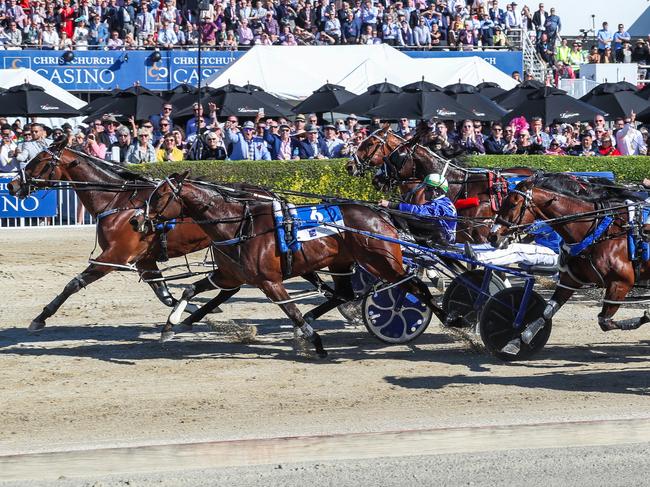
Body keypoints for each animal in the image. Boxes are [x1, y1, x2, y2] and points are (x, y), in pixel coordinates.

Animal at [6, 139, 213, 334]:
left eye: (39, 160)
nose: (11, 184)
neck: (119, 203)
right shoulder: (144, 259)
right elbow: (165, 295)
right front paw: (192, 308)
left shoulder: (115, 256)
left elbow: (74, 284)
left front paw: (40, 318)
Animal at [142, 172, 446, 358]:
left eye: (160, 196)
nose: (137, 220)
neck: (241, 225)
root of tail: (381, 215)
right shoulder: (229, 275)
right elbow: (189, 290)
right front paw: (171, 326)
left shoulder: (269, 281)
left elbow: (291, 310)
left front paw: (317, 343)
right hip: (342, 262)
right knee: (344, 293)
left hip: (382, 261)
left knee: (416, 287)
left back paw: (447, 318)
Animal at [488, 173, 644, 356]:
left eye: (513, 204)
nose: (492, 236)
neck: (599, 230)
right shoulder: (570, 280)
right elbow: (547, 311)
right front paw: (516, 341)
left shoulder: (620, 283)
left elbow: (604, 321)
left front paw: (645, 317)